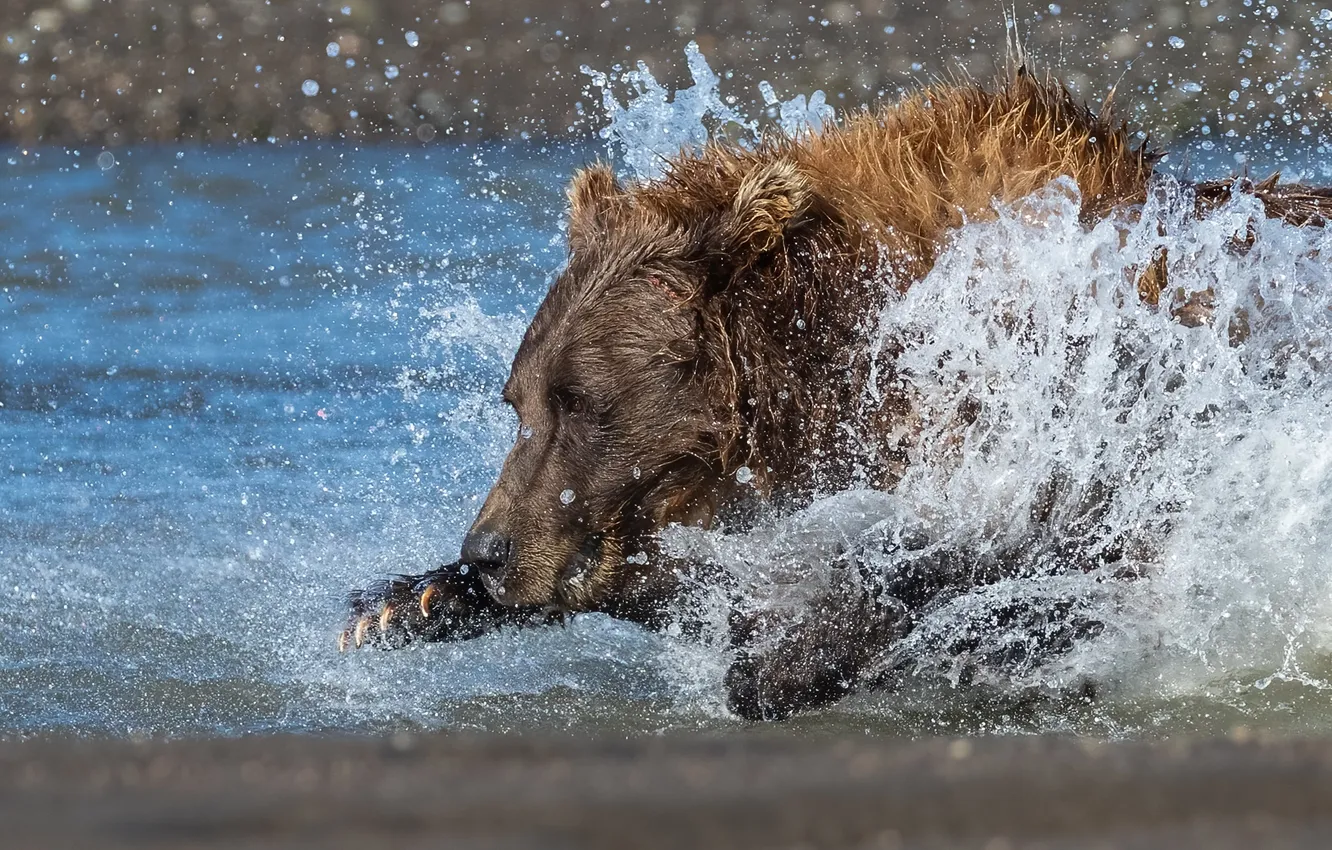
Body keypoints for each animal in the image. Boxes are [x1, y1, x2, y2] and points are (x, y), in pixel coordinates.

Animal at [341, 68, 1332, 720]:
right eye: (518, 401)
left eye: (582, 400)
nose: (487, 551)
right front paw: (401, 602)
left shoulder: (1091, 400)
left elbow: (1007, 540)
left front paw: (788, 653)